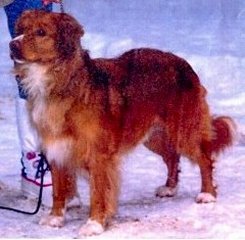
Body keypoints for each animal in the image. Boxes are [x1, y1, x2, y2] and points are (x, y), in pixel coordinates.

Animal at [9, 10, 234, 236]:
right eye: (20, 30)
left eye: (41, 32)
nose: (12, 44)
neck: (59, 81)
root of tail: (183, 63)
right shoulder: (57, 149)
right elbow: (58, 189)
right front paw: (56, 217)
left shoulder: (98, 155)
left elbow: (98, 193)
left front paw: (95, 223)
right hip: (154, 136)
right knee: (172, 157)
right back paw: (170, 187)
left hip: (182, 131)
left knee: (205, 158)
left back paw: (208, 194)